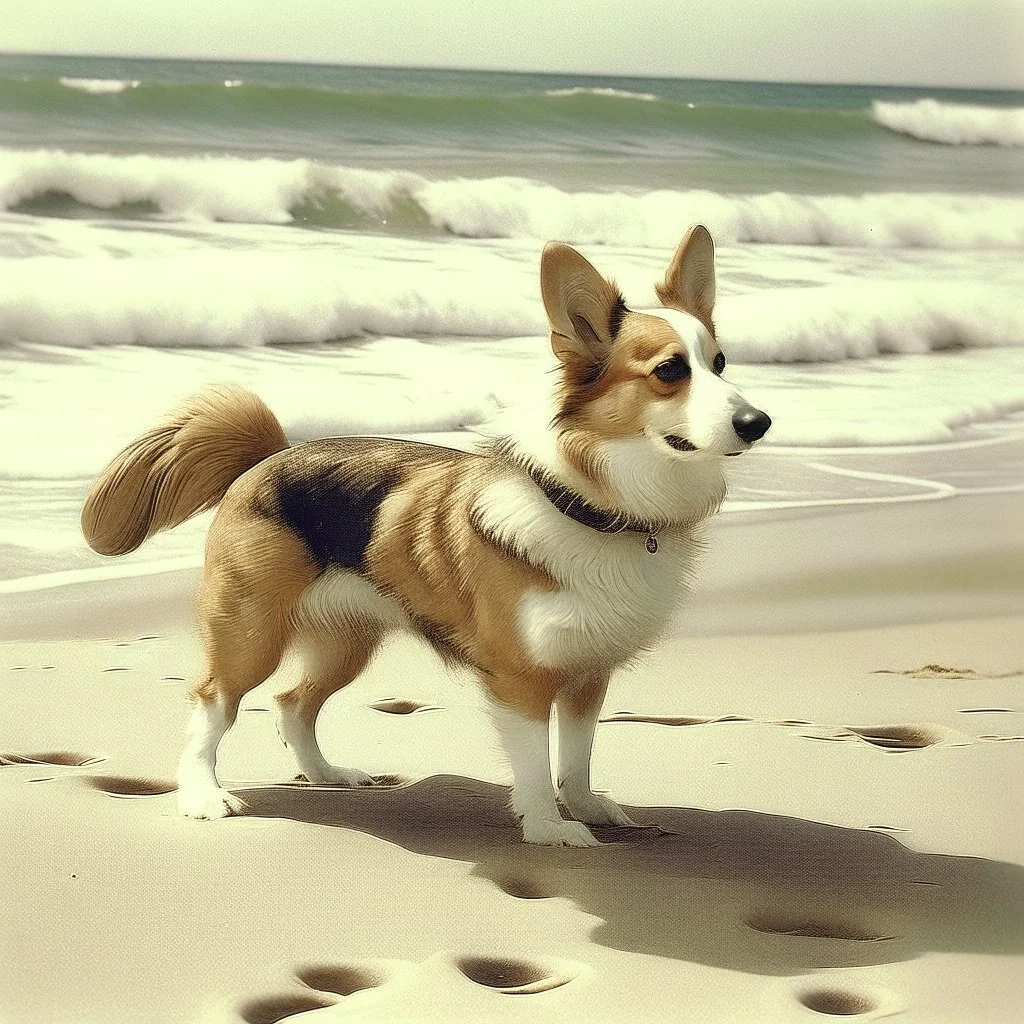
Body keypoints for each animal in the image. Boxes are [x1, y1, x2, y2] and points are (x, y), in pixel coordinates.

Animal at [79, 230, 770, 847]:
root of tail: (270, 456)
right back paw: (203, 795)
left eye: (720, 363)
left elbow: (576, 758)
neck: (595, 503)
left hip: (346, 643)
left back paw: (328, 774)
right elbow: (535, 765)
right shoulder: (522, 678)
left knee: (294, 702)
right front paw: (550, 829)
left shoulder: (585, 672)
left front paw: (586, 808)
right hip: (251, 632)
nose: (759, 422)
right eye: (670, 372)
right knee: (212, 702)